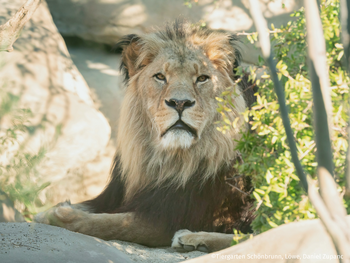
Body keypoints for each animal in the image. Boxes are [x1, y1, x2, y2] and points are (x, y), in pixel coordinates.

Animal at [34, 21, 256, 254]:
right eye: (160, 77)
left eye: (202, 79)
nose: (179, 103)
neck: (165, 158)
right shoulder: (113, 197)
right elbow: (94, 208)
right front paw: (51, 210)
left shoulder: (169, 217)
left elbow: (110, 223)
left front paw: (59, 215)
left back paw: (192, 238)